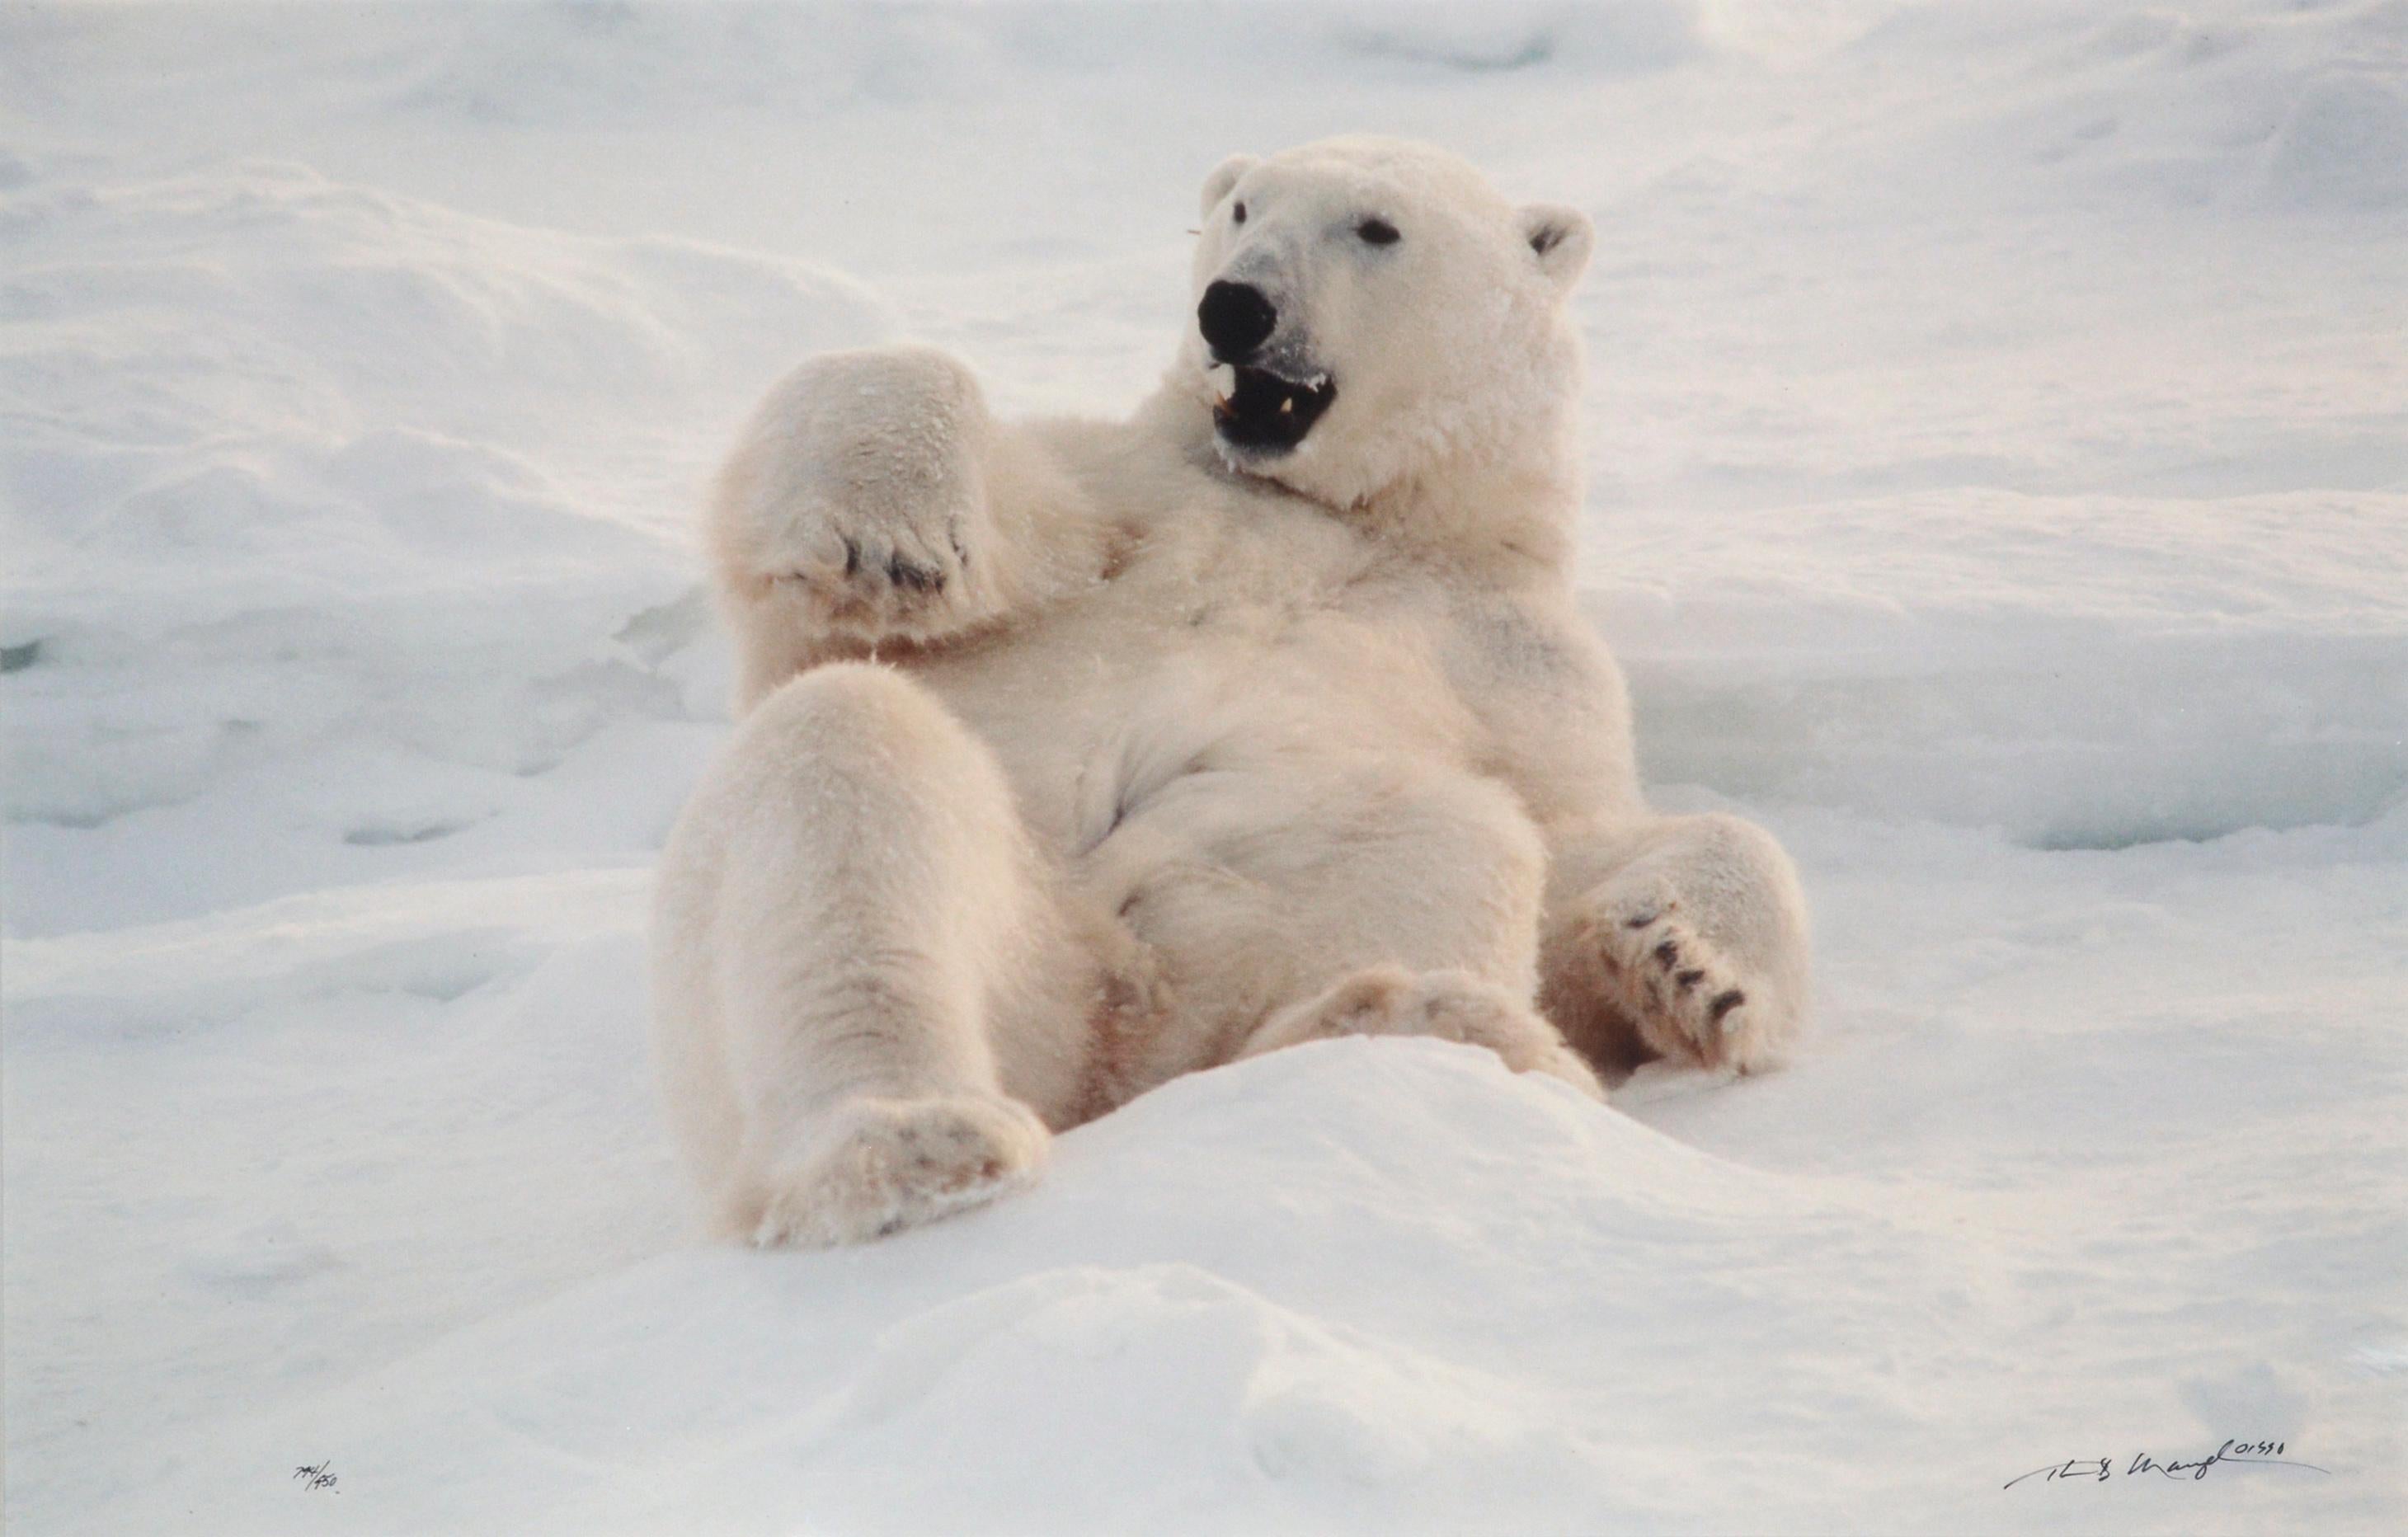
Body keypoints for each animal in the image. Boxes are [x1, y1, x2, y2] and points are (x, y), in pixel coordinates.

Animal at [650, 138, 1810, 1253]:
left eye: (1376, 226)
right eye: (1244, 207)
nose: (1235, 305)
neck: (1350, 517)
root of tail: (1109, 1052)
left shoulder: (1516, 658)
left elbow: (1577, 836)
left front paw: (1691, 967)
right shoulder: (1128, 498)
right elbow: (884, 570)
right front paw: (894, 540)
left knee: (1447, 831)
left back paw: (1400, 1022)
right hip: (1014, 955)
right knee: (848, 755)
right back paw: (905, 1142)